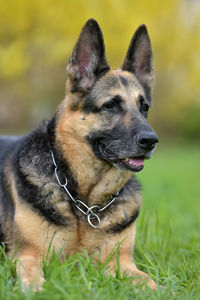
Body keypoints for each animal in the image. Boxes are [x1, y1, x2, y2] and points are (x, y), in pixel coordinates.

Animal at [0, 19, 159, 290]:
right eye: (110, 105)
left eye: (144, 107)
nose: (151, 141)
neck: (84, 204)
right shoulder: (28, 255)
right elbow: (32, 276)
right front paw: (37, 289)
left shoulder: (120, 263)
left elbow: (151, 283)